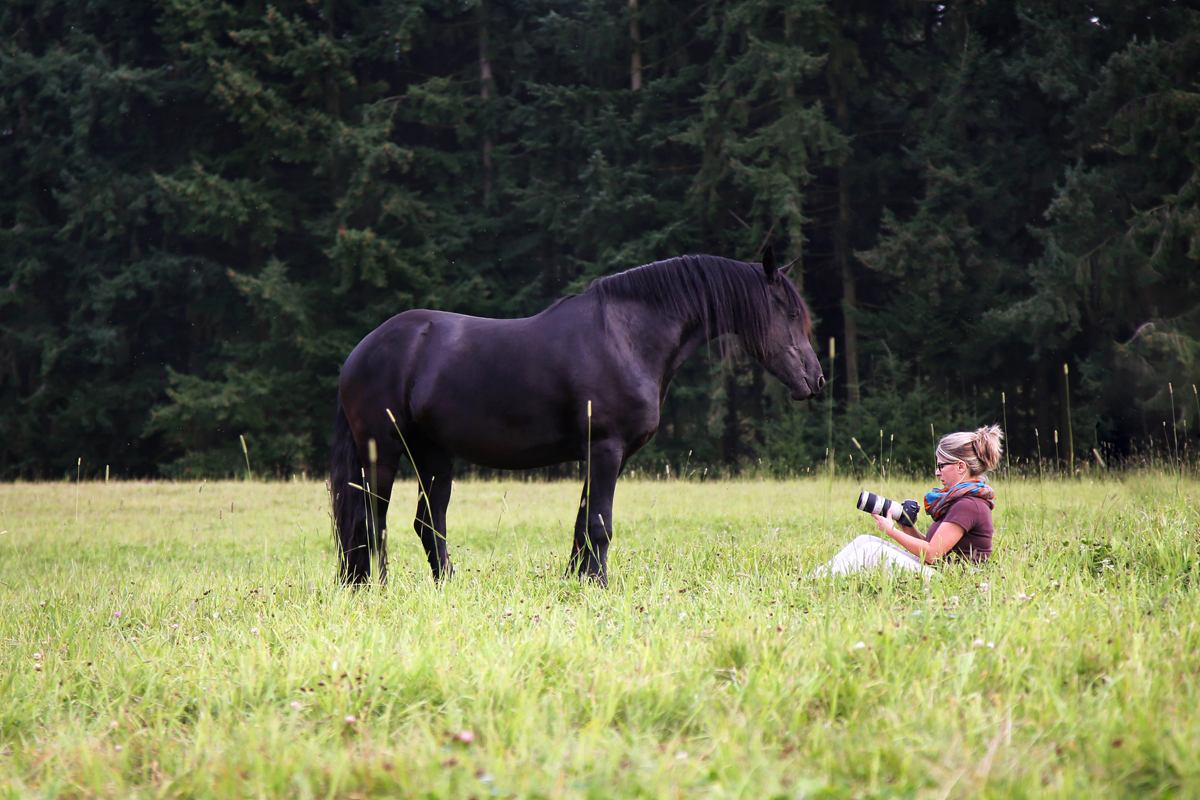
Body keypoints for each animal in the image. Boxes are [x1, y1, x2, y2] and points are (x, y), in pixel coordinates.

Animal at [336, 247, 825, 585]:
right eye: (790, 312)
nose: (816, 380)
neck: (627, 339)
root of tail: (362, 351)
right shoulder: (606, 449)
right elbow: (599, 523)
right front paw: (598, 585)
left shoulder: (603, 455)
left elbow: (584, 523)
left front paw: (578, 581)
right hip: (383, 452)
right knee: (370, 521)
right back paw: (374, 588)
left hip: (434, 454)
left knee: (427, 522)